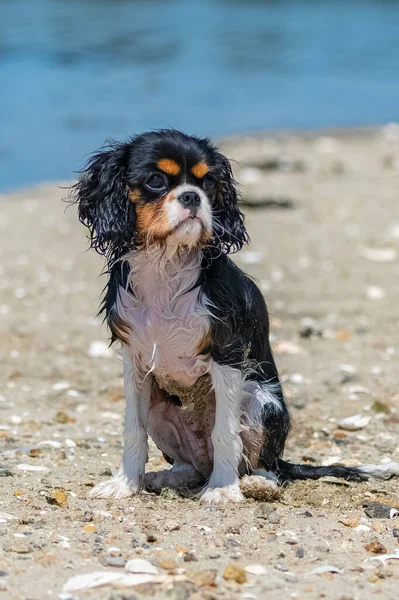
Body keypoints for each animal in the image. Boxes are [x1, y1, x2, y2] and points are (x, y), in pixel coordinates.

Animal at [72, 129, 399, 504]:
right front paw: (125, 484)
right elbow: (132, 430)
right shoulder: (135, 361)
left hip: (260, 401)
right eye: (156, 180)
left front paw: (223, 490)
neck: (167, 264)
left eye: (208, 182)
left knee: (266, 466)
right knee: (190, 467)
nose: (192, 196)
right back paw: (167, 477)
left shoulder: (226, 353)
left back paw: (256, 483)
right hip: (160, 410)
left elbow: (225, 433)